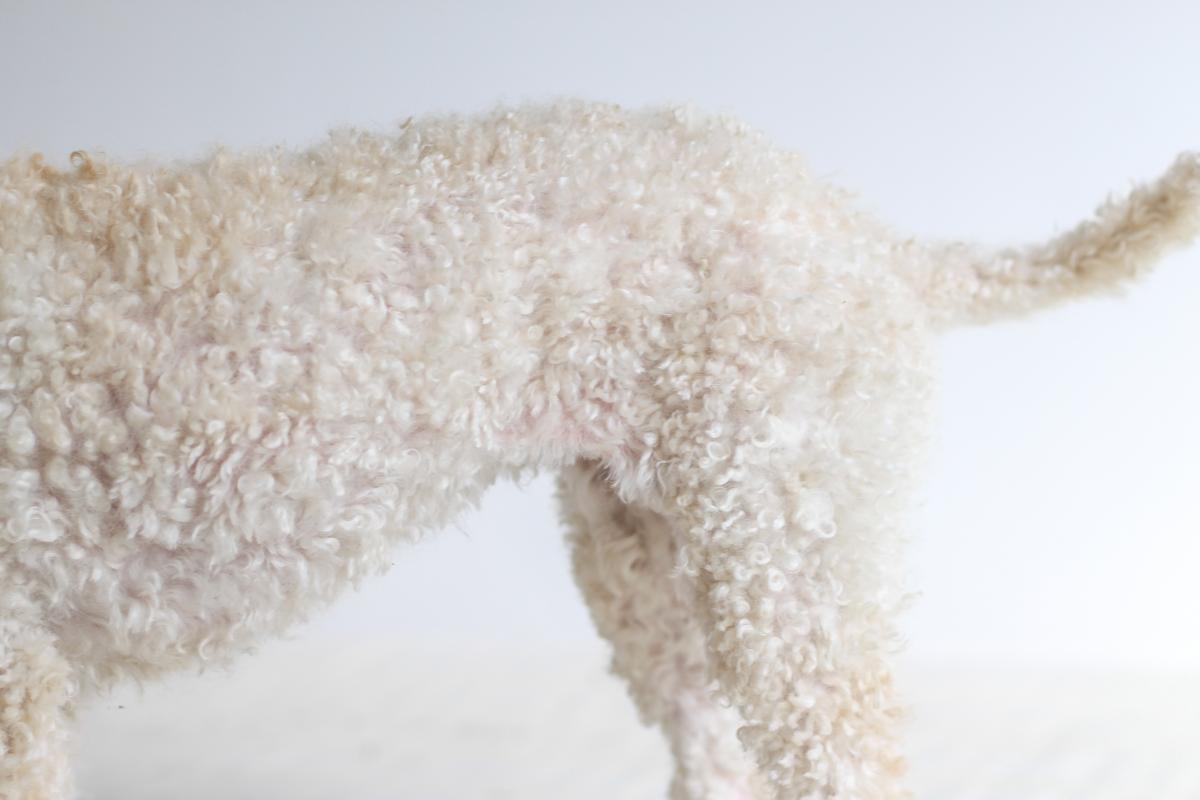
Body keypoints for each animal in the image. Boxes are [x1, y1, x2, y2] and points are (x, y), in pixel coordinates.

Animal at [0, 101, 1195, 800]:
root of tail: (860, 231)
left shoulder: (18, 675)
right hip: (655, 554)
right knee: (716, 753)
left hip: (784, 544)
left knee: (842, 754)